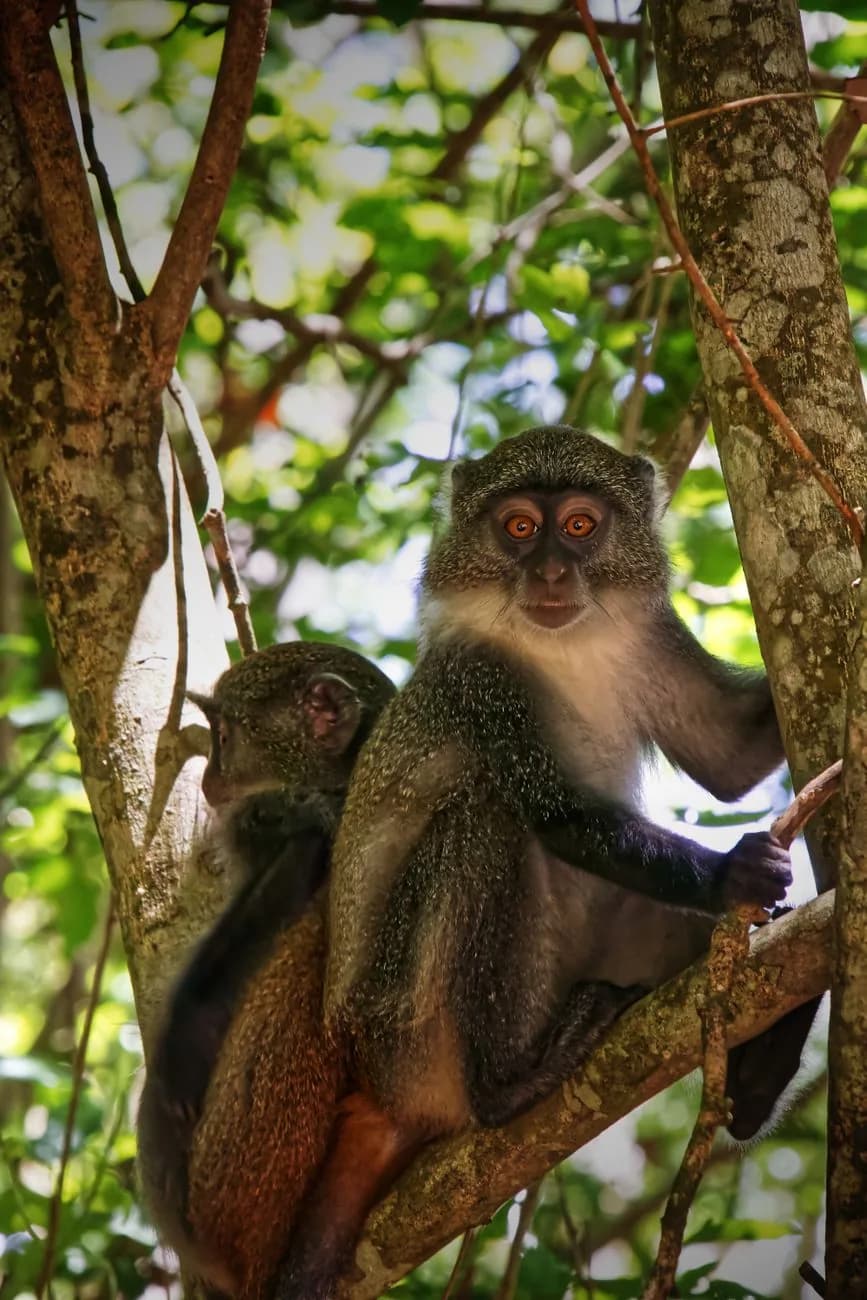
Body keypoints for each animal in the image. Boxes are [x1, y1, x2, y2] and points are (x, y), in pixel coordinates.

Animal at [273, 425, 803, 1300]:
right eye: (519, 528)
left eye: (580, 526)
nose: (550, 572)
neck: (562, 648)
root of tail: (374, 1088)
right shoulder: (483, 681)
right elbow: (556, 817)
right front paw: (735, 874)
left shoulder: (650, 633)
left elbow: (730, 754)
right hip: (408, 1026)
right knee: (489, 817)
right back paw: (510, 1085)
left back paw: (761, 1074)